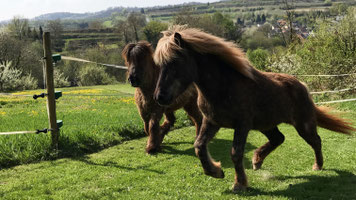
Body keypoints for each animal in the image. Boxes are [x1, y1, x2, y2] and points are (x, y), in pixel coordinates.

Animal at [152, 25, 354, 191]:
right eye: (159, 65)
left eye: (175, 62)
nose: (159, 97)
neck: (223, 86)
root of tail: (302, 85)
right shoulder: (212, 122)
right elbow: (199, 146)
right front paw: (216, 172)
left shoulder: (242, 125)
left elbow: (235, 153)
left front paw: (239, 184)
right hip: (266, 125)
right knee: (279, 138)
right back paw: (258, 161)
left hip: (303, 125)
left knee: (315, 141)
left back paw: (317, 166)